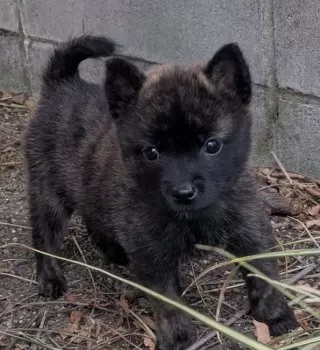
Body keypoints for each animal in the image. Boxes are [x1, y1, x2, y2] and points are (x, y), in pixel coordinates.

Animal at [24, 34, 298, 348]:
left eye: (212, 145)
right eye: (152, 152)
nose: (183, 192)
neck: (195, 216)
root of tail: (61, 85)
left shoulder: (250, 229)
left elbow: (264, 277)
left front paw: (277, 315)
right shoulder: (152, 253)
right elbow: (168, 301)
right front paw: (176, 335)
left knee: (94, 219)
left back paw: (115, 253)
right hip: (48, 194)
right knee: (44, 236)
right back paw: (50, 278)